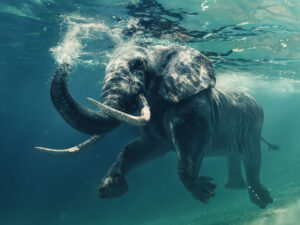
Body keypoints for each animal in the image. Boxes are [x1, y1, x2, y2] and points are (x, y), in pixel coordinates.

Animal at [36, 44, 278, 209]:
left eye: (137, 65)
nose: (66, 64)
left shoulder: (192, 104)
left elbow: (190, 144)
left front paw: (205, 191)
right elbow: (141, 148)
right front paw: (109, 189)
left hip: (254, 125)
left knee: (253, 159)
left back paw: (262, 200)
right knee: (234, 156)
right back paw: (235, 188)